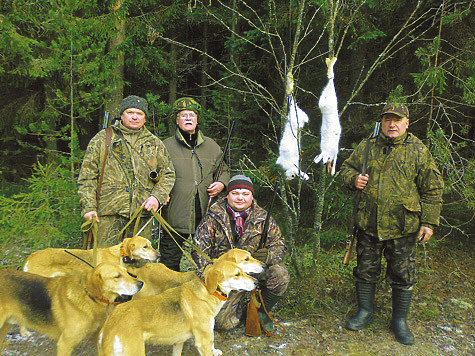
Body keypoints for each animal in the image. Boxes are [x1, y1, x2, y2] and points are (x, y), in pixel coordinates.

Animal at [0, 262, 143, 356]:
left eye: (126, 272)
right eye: (117, 276)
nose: (141, 283)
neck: (90, 297)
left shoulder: (98, 338)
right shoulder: (64, 344)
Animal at [98, 258, 258, 356]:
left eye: (242, 271)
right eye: (237, 274)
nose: (256, 282)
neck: (207, 291)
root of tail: (111, 326)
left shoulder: (179, 342)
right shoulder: (202, 341)